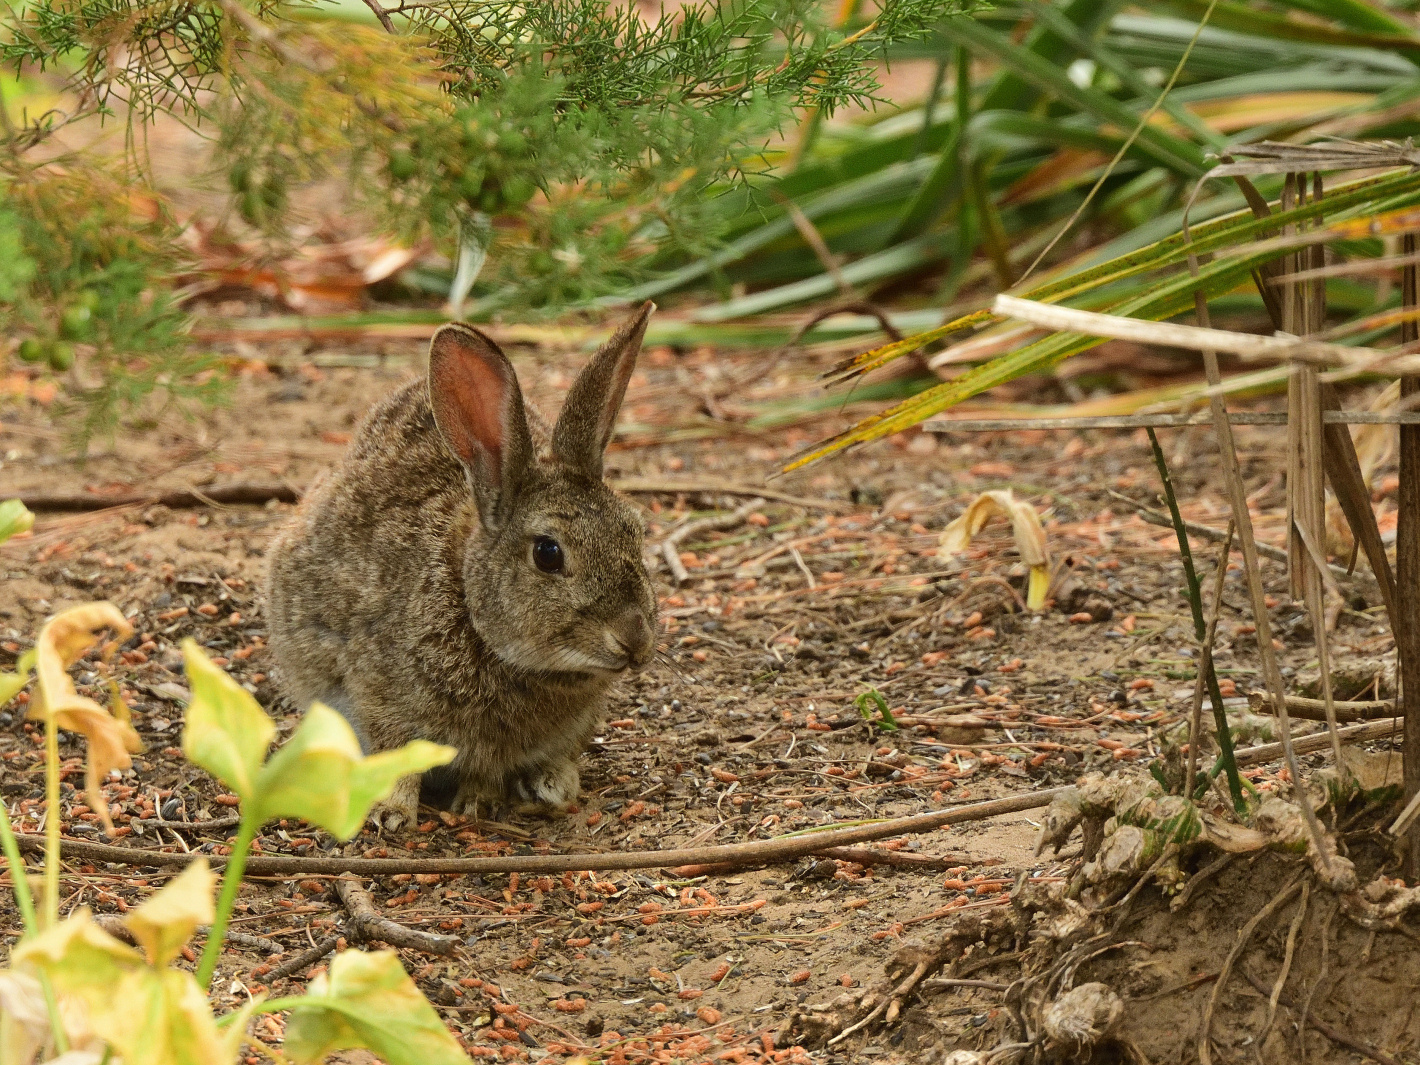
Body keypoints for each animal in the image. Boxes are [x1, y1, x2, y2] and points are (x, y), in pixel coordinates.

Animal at [265, 303, 658, 829]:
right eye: (548, 554)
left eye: (636, 531)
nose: (634, 640)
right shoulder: (381, 694)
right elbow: (398, 755)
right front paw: (392, 812)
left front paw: (498, 798)